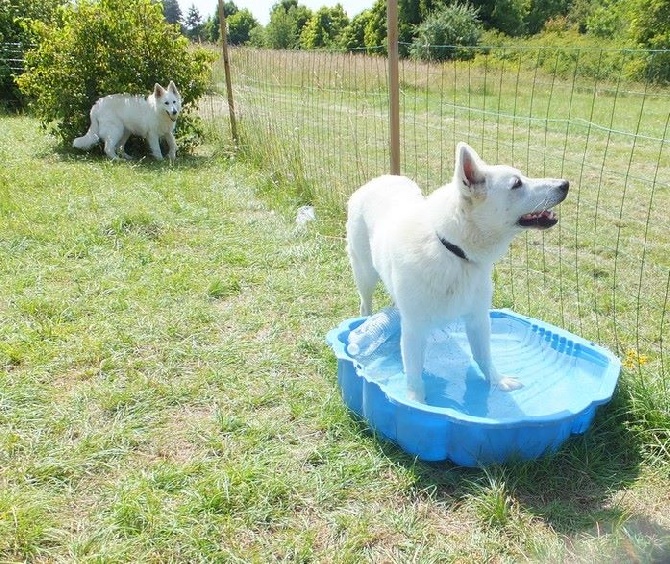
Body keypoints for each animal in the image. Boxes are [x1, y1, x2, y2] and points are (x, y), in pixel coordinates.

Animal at [346, 143, 572, 404]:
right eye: (517, 183)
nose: (565, 184)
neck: (452, 250)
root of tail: (379, 179)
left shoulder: (478, 319)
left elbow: (485, 357)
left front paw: (498, 382)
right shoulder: (414, 330)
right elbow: (414, 375)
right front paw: (415, 403)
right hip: (364, 273)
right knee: (365, 303)